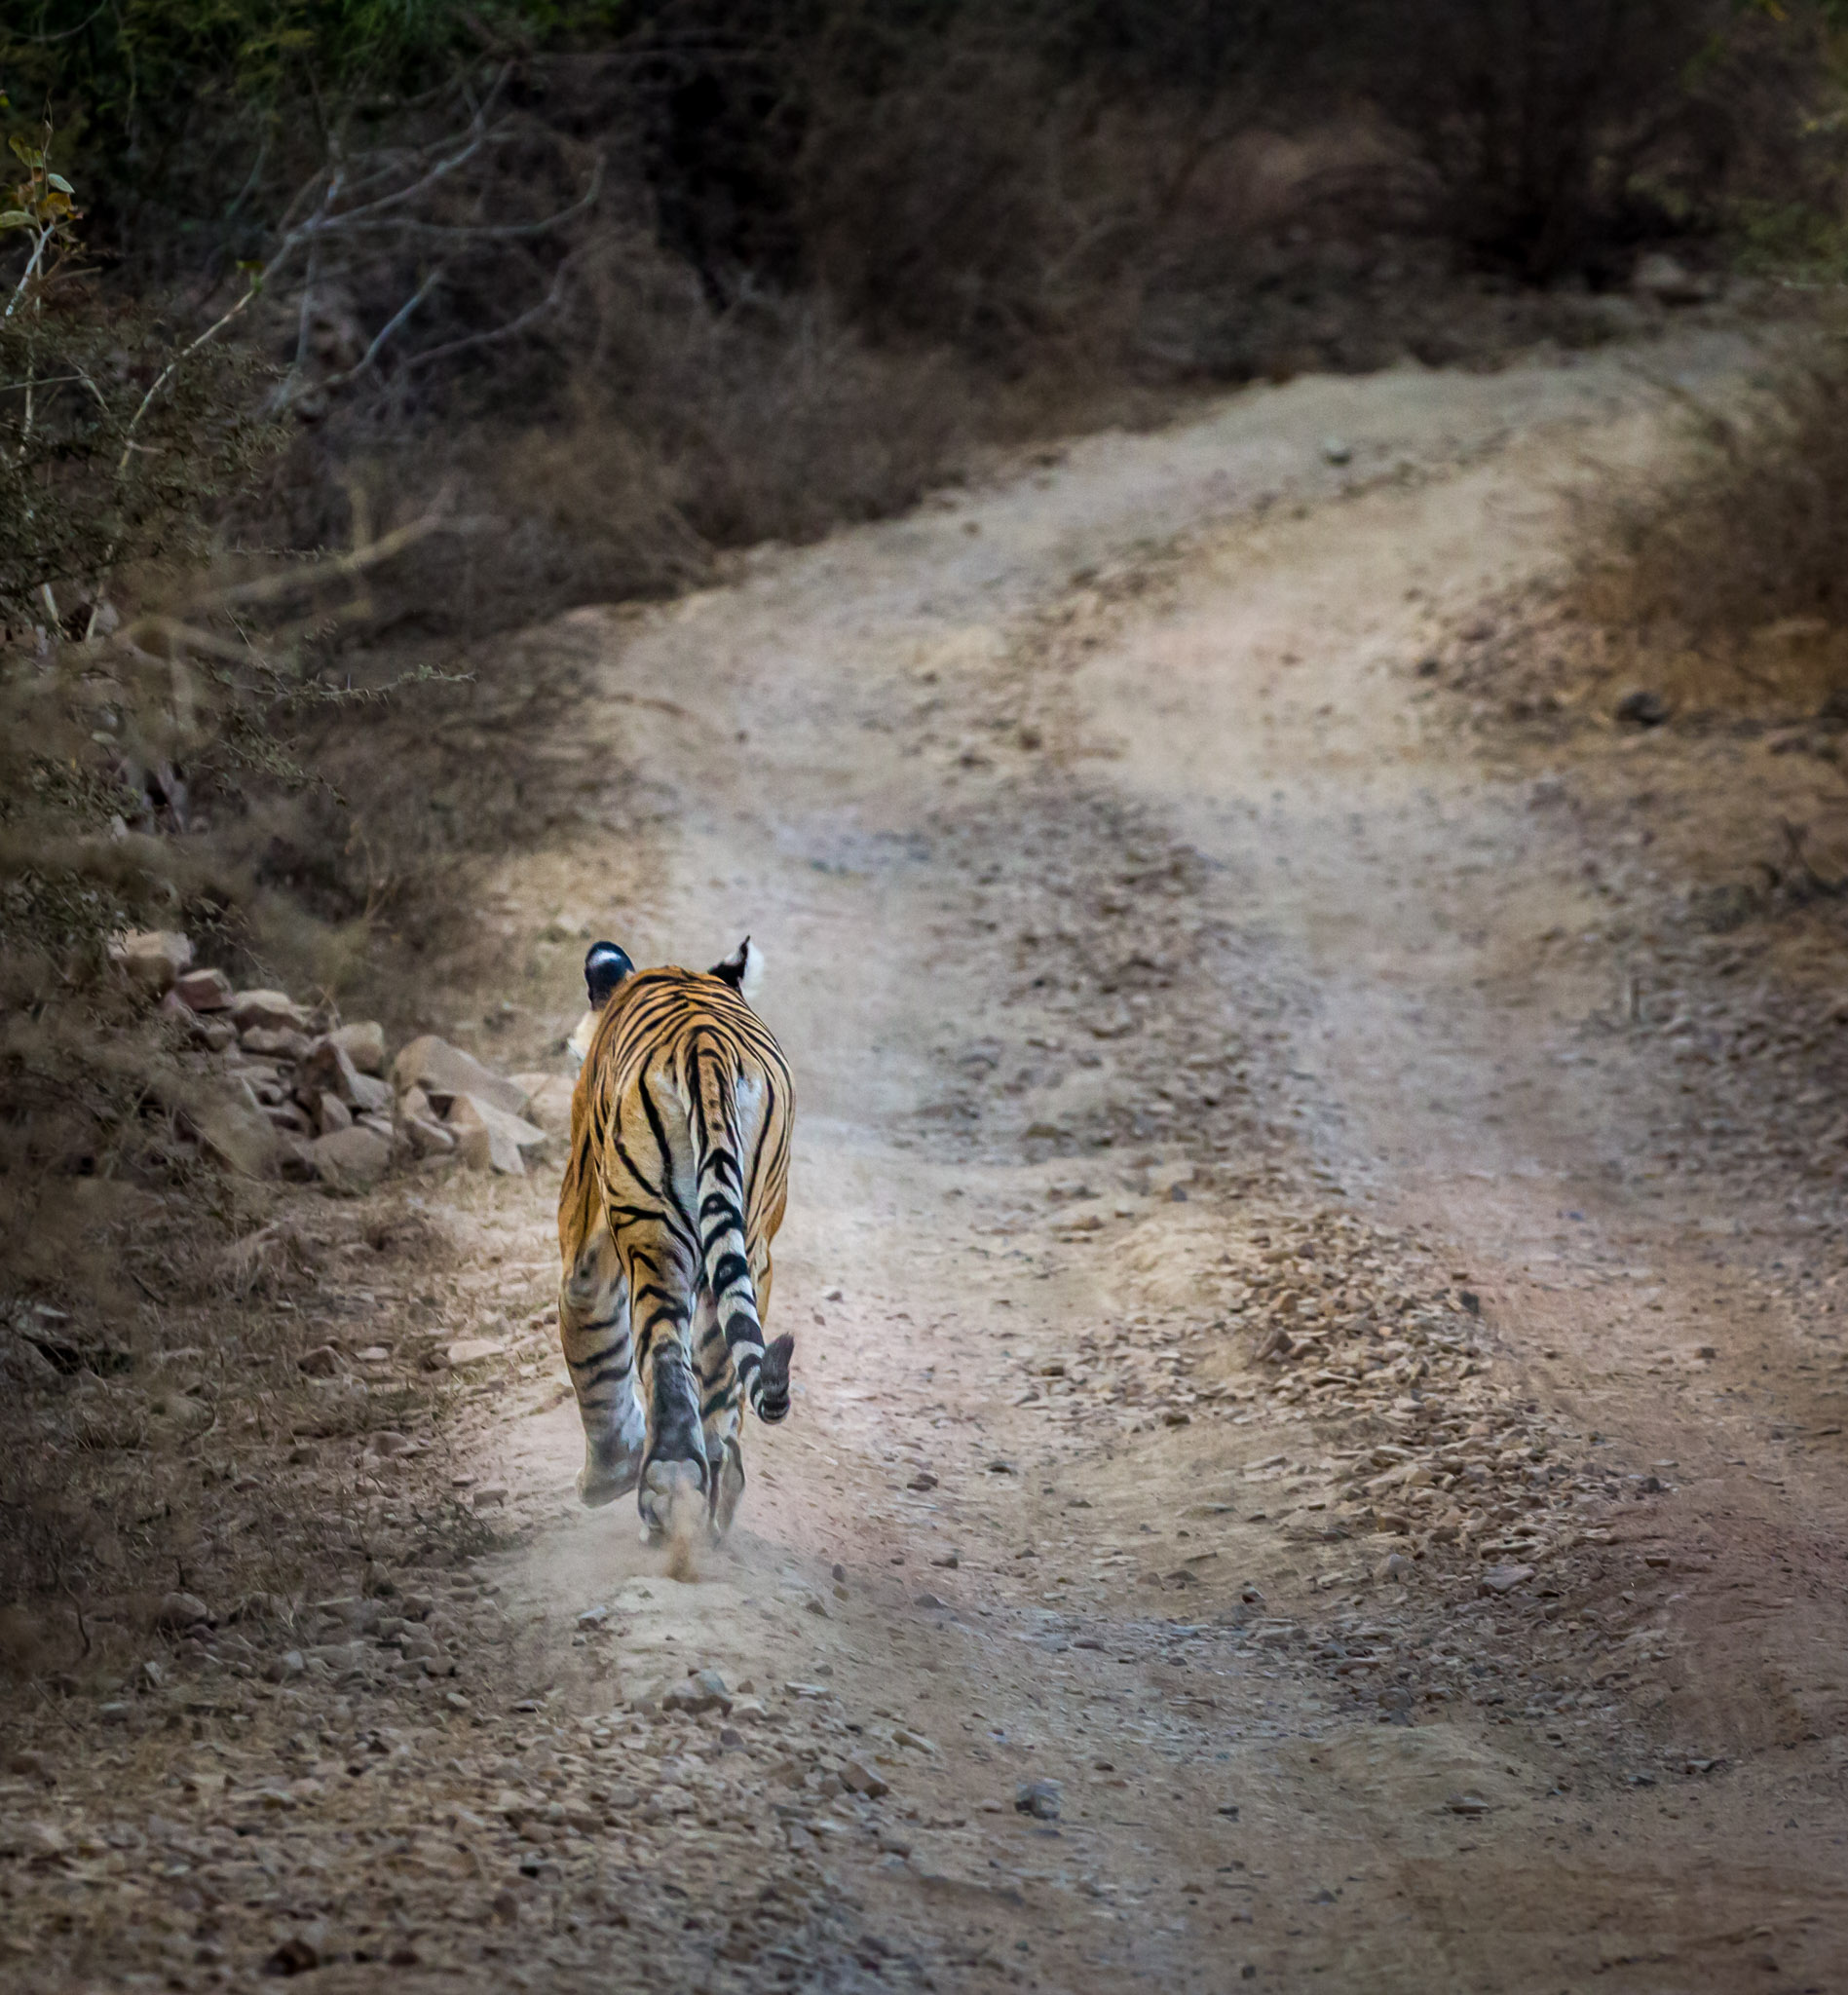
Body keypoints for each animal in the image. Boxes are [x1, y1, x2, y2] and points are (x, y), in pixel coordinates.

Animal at [558, 933, 798, 1540]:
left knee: (665, 1353)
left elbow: (593, 1345)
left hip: (652, 1239)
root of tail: (704, 1047)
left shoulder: (585, 1245)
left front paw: (607, 1476)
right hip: (736, 1243)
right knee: (718, 1370)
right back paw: (711, 1500)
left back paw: (665, 1491)